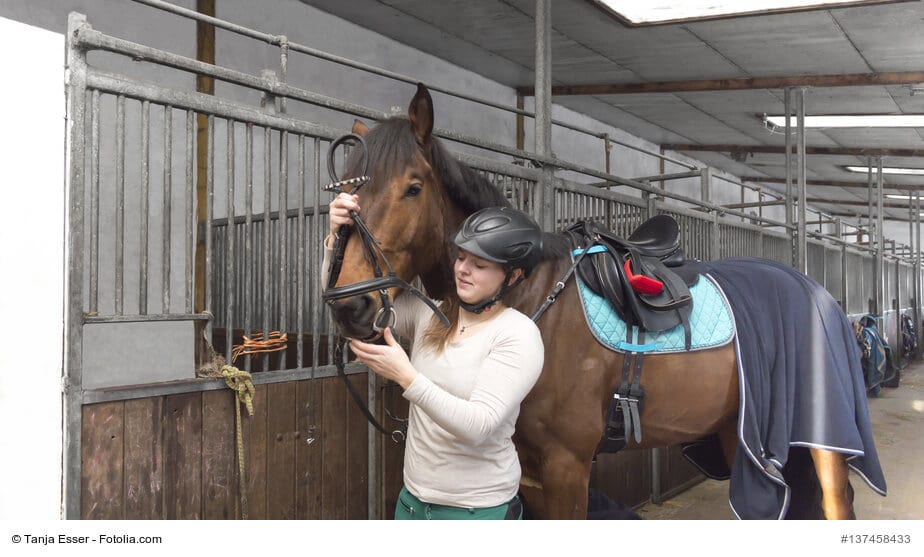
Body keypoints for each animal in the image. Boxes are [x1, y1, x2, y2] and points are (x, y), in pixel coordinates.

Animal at [324, 83, 884, 519]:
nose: (351, 308)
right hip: (740, 435)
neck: (530, 302)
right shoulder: (530, 472)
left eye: (413, 188)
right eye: (347, 196)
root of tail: (821, 296)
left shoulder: (567, 466)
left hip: (821, 444)